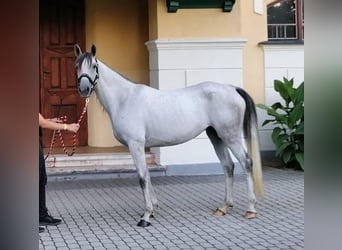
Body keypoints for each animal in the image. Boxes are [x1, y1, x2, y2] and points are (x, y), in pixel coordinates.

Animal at [73, 44, 264, 228]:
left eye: (94, 66)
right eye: (77, 66)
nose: (84, 89)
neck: (124, 99)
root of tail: (232, 88)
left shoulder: (136, 145)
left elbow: (142, 178)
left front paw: (146, 216)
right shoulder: (139, 147)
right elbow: (147, 175)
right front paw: (153, 210)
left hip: (230, 137)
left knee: (246, 163)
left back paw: (250, 209)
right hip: (216, 136)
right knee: (228, 166)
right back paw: (223, 207)